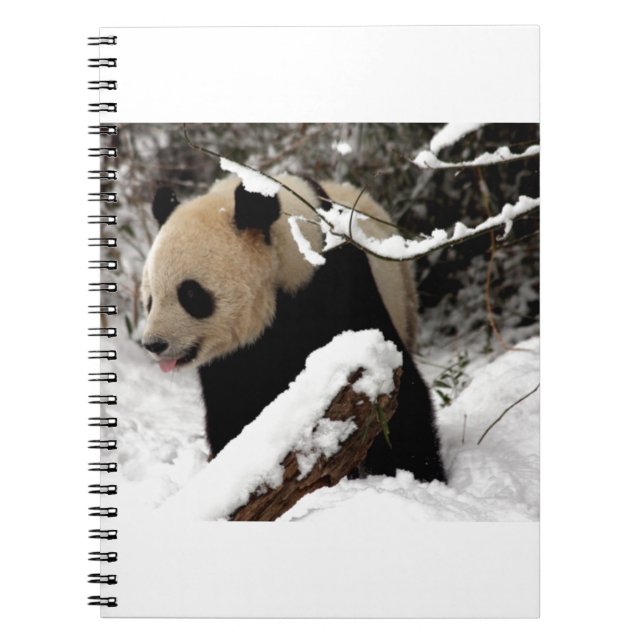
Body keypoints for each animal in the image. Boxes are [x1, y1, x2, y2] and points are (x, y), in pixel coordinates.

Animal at [141, 173, 445, 483]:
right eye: (150, 299)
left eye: (190, 294)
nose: (154, 343)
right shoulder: (231, 360)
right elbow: (232, 407)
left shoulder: (339, 290)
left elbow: (397, 391)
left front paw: (416, 473)